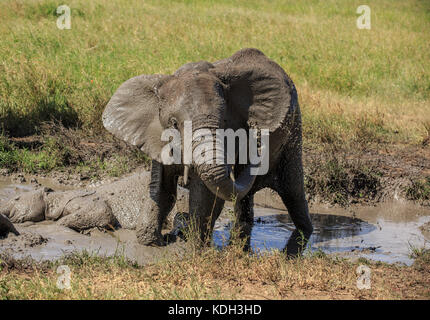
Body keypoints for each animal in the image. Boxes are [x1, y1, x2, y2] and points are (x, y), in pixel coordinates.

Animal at [103, 48, 314, 258]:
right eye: (173, 123)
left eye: (224, 122)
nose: (255, 130)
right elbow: (162, 189)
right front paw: (152, 243)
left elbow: (204, 194)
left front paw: (195, 249)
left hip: (295, 126)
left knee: (292, 191)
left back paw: (305, 233)